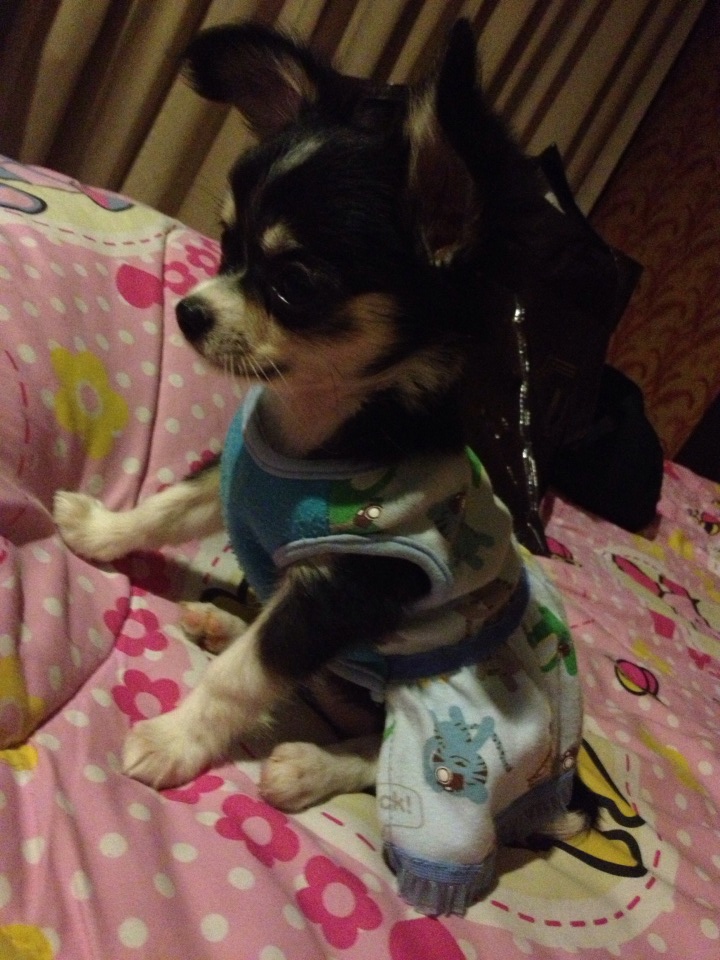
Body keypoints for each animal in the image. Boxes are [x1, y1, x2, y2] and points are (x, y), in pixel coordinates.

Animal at [54, 20, 590, 915]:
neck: (314, 429)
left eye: (294, 283)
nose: (188, 311)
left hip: (446, 721)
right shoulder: (234, 478)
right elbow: (168, 507)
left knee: (392, 758)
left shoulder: (342, 587)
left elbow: (246, 677)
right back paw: (221, 620)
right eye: (227, 243)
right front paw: (98, 533)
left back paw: (307, 766)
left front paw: (173, 740)